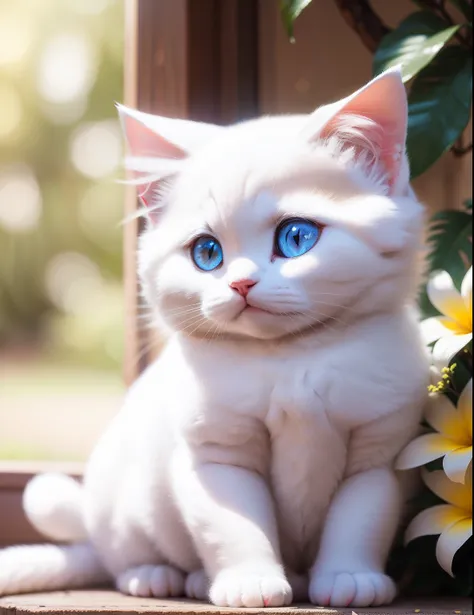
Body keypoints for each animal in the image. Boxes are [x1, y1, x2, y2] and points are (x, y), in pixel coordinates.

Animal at [0, 70, 430, 608]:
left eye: (296, 237)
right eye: (207, 253)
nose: (241, 284)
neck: (291, 360)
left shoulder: (378, 454)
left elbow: (360, 521)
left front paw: (350, 578)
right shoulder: (217, 455)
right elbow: (234, 528)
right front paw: (251, 582)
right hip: (123, 506)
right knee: (122, 558)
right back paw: (160, 576)